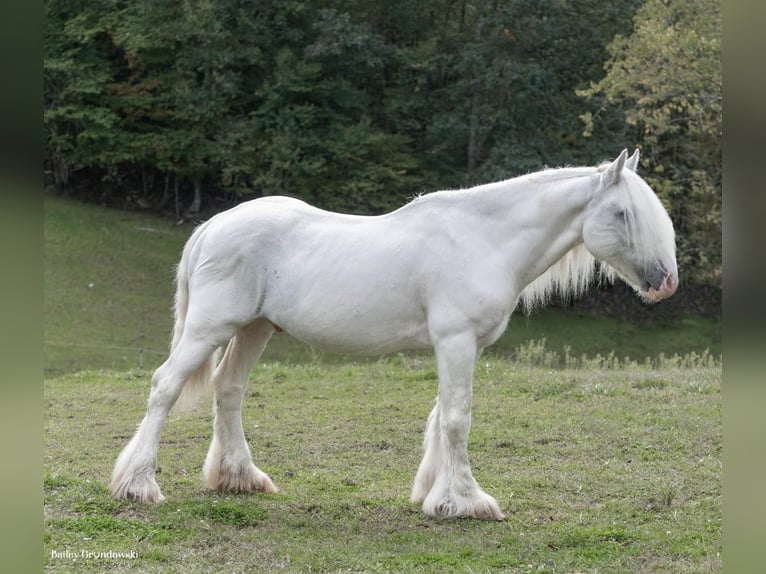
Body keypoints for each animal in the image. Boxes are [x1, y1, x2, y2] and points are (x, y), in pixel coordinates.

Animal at [109, 148, 680, 520]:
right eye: (623, 212)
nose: (665, 282)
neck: (484, 239)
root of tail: (214, 224)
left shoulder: (459, 347)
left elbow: (440, 419)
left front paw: (435, 492)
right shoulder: (456, 342)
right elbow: (457, 420)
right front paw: (467, 502)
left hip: (253, 329)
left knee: (228, 392)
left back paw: (241, 478)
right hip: (211, 328)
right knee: (165, 387)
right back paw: (138, 486)